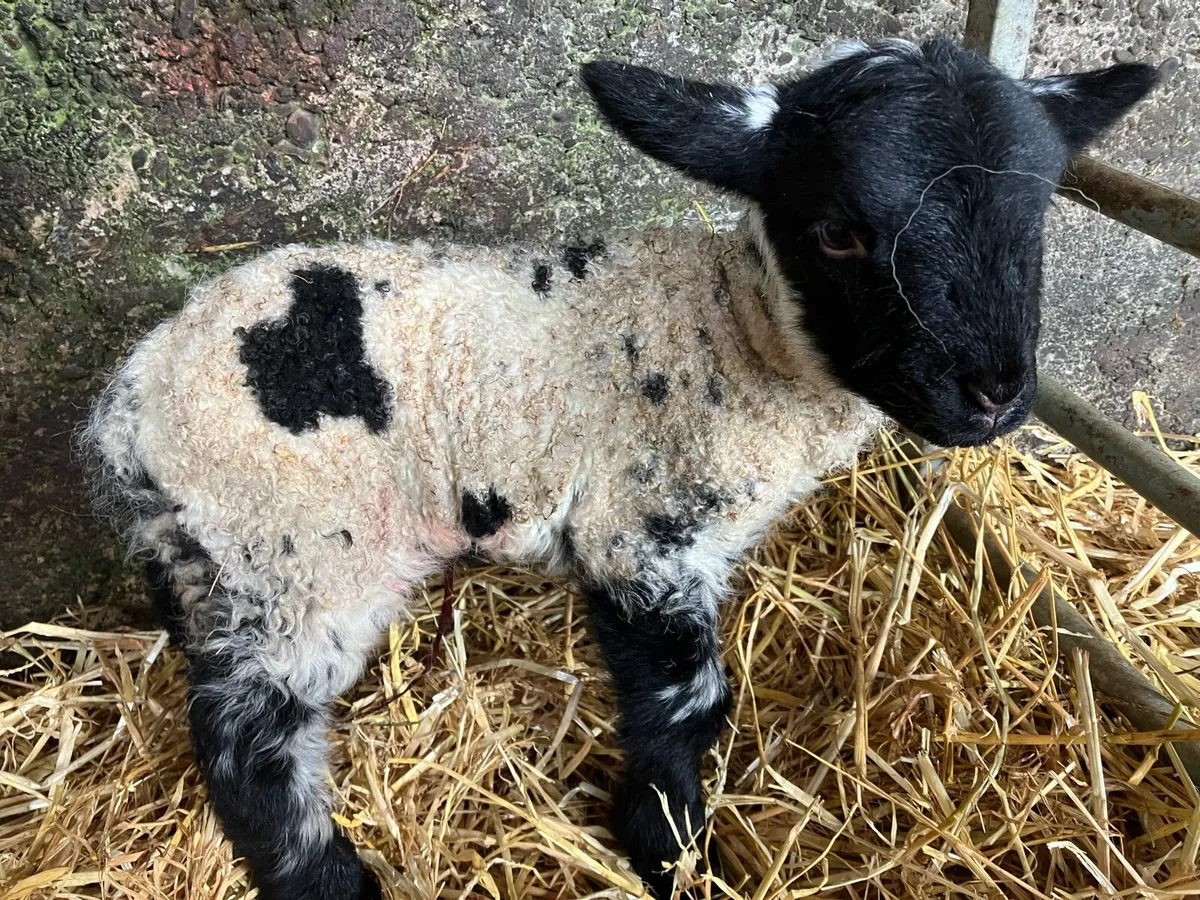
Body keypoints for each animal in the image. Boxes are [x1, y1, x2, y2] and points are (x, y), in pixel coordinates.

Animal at [81, 38, 1157, 900]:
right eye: (839, 230)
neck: (734, 337)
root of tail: (125, 411)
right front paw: (668, 849)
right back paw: (331, 883)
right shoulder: (642, 537)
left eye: (1037, 218)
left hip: (237, 564)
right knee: (251, 746)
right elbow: (691, 703)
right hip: (297, 554)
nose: (994, 394)